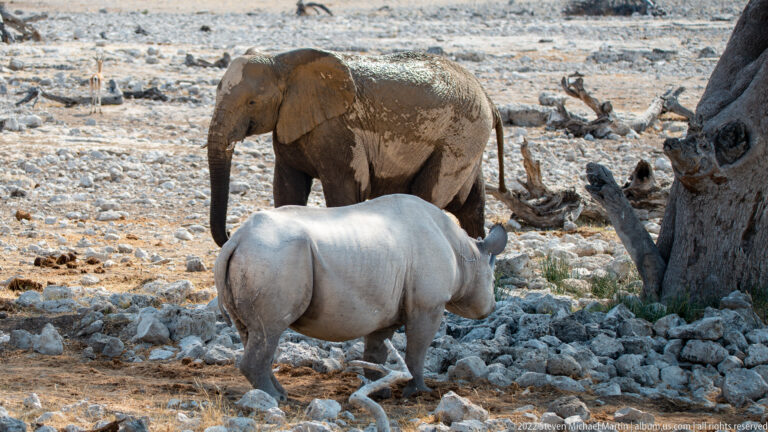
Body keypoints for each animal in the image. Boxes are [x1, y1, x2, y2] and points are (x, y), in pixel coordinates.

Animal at [207, 48, 507, 247]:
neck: (284, 62)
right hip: (468, 139)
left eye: (252, 103)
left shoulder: (338, 131)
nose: (231, 234)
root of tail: (489, 100)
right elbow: (288, 189)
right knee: (470, 204)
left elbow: (345, 190)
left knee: (428, 196)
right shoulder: (290, 124)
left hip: (460, 134)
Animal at [214, 194, 508, 400]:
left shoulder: (386, 311)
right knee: (270, 330)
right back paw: (275, 399)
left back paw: (279, 395)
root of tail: (235, 240)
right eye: (491, 279)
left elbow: (376, 353)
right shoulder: (429, 305)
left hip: (260, 256)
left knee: (252, 332)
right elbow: (417, 350)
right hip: (272, 255)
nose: (492, 307)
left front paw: (380, 392)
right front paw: (418, 393)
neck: (467, 254)